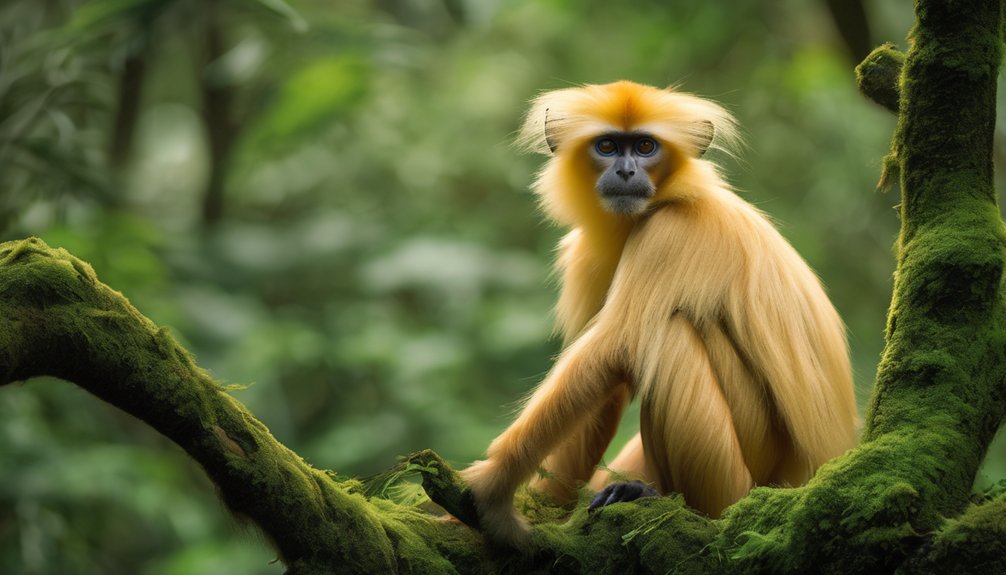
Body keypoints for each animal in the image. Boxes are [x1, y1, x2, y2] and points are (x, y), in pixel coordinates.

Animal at [459, 81, 858, 548]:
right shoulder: (584, 256)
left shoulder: (672, 230)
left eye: (646, 146)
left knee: (669, 334)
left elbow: (609, 352)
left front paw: (492, 493)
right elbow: (604, 391)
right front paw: (542, 507)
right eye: (608, 146)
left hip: (742, 477)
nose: (627, 172)